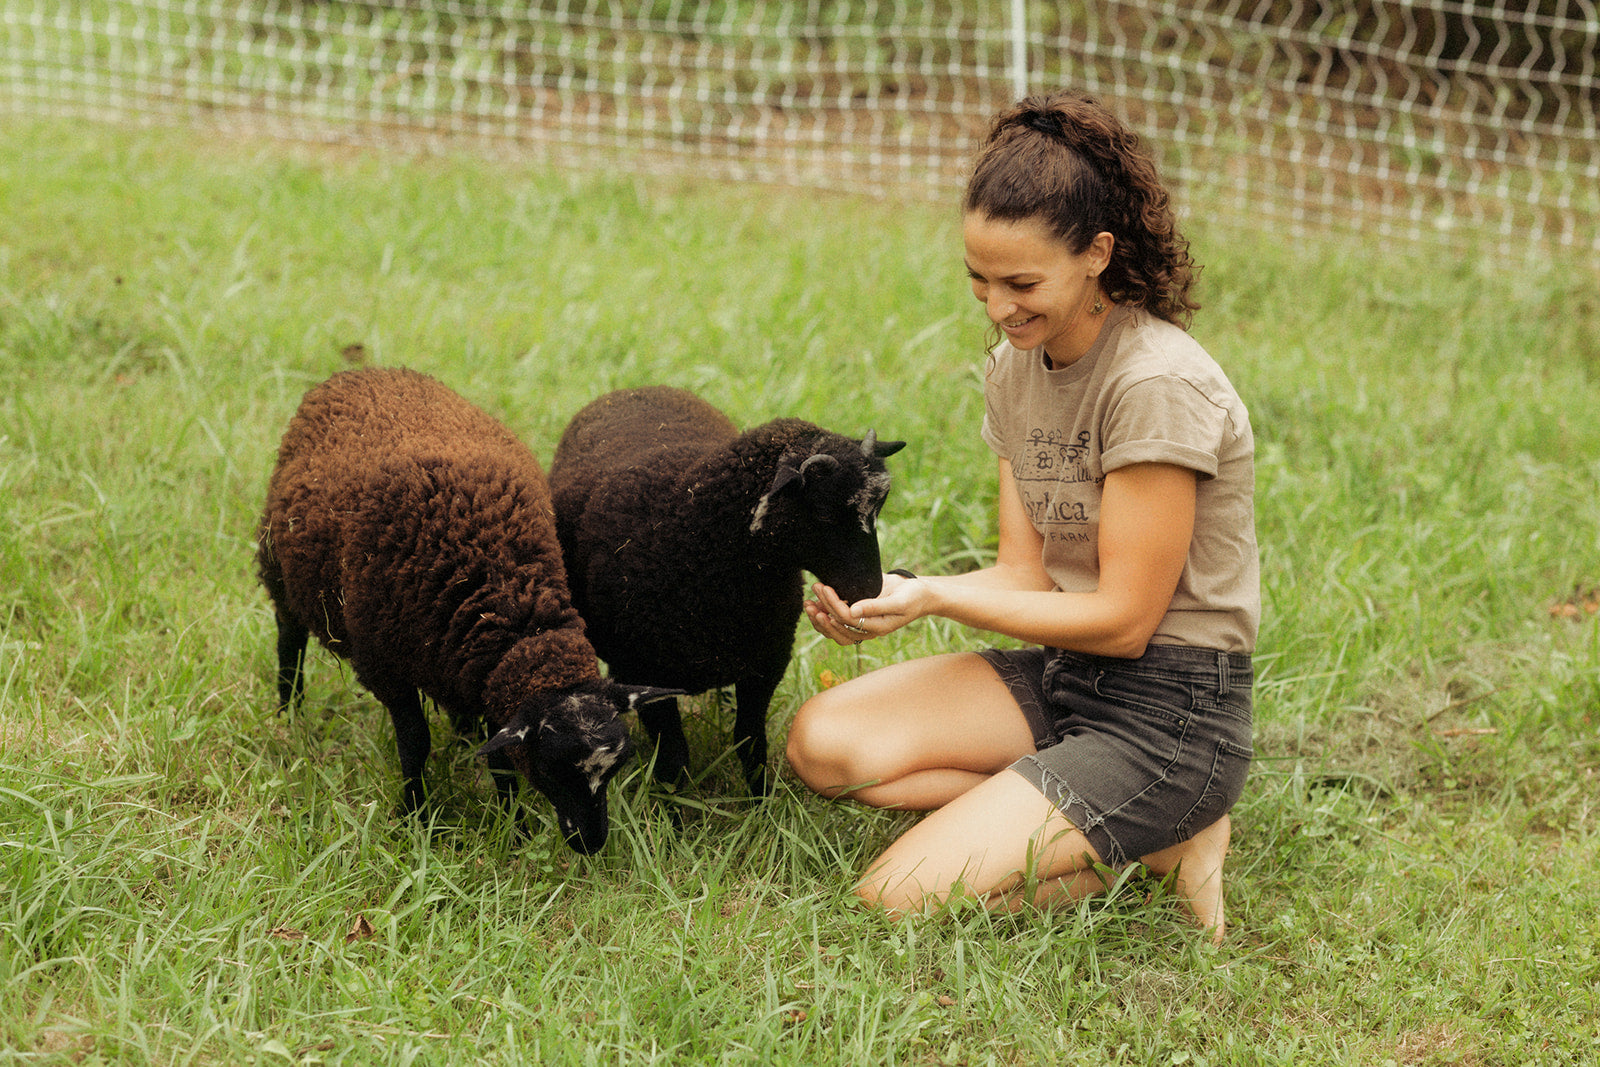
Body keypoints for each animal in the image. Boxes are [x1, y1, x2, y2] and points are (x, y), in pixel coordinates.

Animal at [256, 367, 678, 854]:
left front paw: (514, 828)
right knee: (289, 641)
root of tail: (362, 372)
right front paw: (416, 817)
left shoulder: (489, 679)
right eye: (550, 768)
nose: (591, 843)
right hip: (278, 570)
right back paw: (289, 715)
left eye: (616, 768)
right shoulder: (384, 667)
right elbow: (414, 745)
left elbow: (500, 761)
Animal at [548, 385, 904, 798]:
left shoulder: (766, 662)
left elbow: (750, 742)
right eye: (825, 514)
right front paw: (675, 812)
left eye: (878, 510)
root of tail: (636, 390)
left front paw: (761, 804)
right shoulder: (643, 673)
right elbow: (673, 759)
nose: (870, 590)